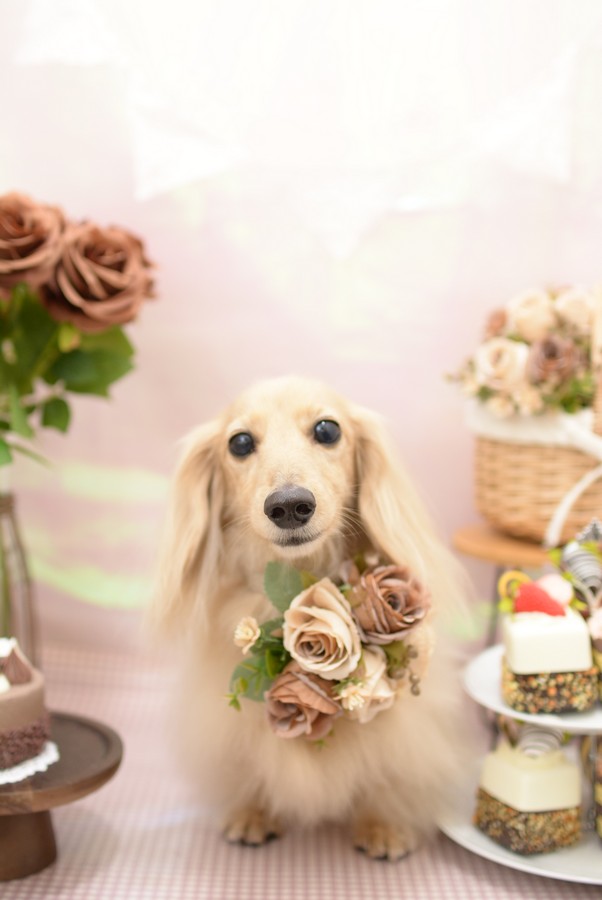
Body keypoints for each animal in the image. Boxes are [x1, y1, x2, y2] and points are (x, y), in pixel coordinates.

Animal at [153, 376, 468, 860]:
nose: (288, 506)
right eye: (239, 442)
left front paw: (383, 826)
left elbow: (389, 766)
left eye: (327, 429)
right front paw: (252, 812)